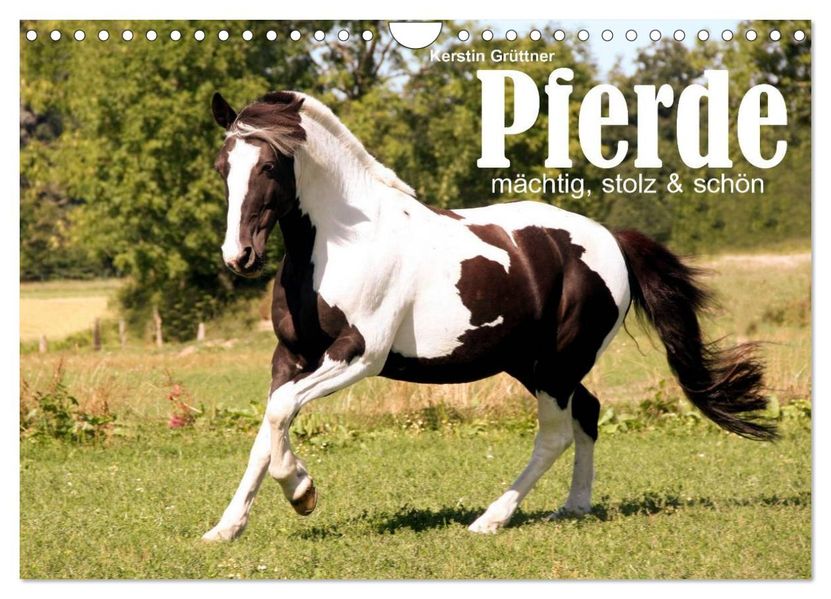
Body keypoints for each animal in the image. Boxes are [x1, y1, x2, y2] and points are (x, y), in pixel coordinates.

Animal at [201, 90, 776, 541]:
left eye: (269, 166)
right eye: (223, 168)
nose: (239, 256)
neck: (341, 243)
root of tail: (611, 240)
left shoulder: (358, 356)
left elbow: (279, 416)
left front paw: (302, 492)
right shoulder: (291, 356)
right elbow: (269, 427)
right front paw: (226, 528)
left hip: (558, 365)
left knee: (555, 434)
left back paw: (491, 519)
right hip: (531, 362)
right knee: (588, 413)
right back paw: (575, 507)